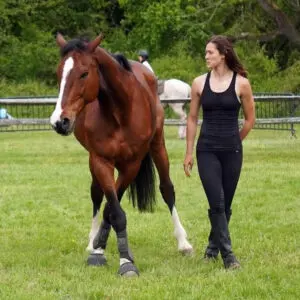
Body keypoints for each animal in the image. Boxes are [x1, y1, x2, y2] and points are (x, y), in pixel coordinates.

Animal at [49, 33, 192, 276]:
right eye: (60, 73)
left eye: (84, 73)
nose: (60, 121)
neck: (120, 111)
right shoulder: (101, 161)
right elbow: (112, 208)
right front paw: (102, 250)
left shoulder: (131, 165)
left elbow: (114, 209)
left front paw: (124, 261)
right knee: (98, 195)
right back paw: (94, 242)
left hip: (158, 146)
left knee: (167, 189)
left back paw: (183, 242)